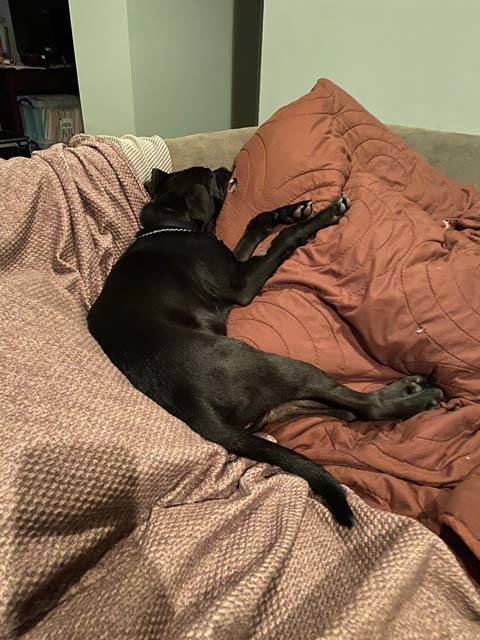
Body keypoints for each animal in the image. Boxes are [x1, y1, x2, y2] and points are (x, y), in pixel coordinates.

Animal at [87, 166, 444, 526]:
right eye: (209, 175)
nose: (225, 170)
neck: (172, 224)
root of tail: (193, 405)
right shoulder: (241, 282)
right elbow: (282, 241)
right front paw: (321, 215)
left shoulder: (237, 261)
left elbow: (253, 226)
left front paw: (289, 211)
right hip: (283, 366)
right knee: (365, 407)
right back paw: (417, 396)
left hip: (272, 401)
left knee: (344, 409)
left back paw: (403, 389)